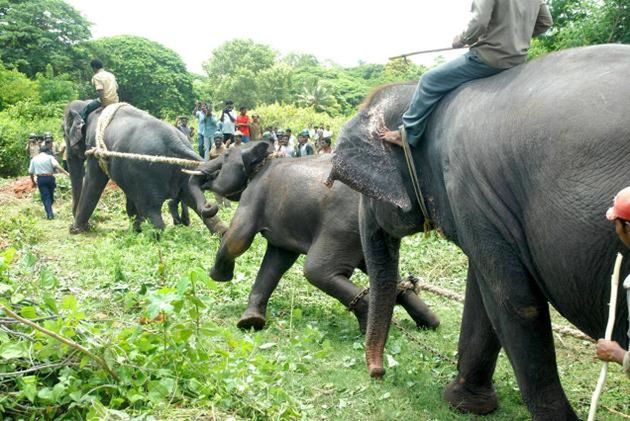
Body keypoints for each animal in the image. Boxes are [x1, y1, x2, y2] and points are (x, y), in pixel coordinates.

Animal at [63, 100, 226, 235]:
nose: (73, 224)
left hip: (146, 174)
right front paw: (137, 229)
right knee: (197, 203)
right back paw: (220, 234)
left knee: (152, 212)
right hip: (183, 171)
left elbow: (93, 182)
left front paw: (76, 230)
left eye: (64, 132)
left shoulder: (95, 148)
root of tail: (176, 141)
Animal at [190, 143, 442, 334]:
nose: (209, 206)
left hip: (342, 227)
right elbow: (277, 261)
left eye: (224, 156)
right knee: (389, 277)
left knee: (317, 271)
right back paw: (429, 324)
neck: (265, 157)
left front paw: (217, 277)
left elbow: (238, 239)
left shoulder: (255, 194)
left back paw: (366, 326)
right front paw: (251, 322)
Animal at [326, 44, 630, 418]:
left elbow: (513, 299)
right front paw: (465, 402)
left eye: (365, 193)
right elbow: (483, 295)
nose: (378, 372)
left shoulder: (471, 191)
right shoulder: (486, 209)